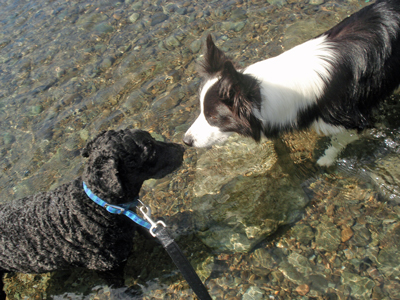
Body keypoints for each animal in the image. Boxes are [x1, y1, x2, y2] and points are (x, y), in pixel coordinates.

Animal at [0, 129, 184, 298]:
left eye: (152, 138)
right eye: (150, 150)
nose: (182, 147)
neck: (98, 208)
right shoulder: (107, 269)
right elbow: (119, 290)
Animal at [183, 0, 400, 164]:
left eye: (213, 117)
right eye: (201, 111)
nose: (185, 141)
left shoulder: (355, 121)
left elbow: (339, 141)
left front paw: (326, 160)